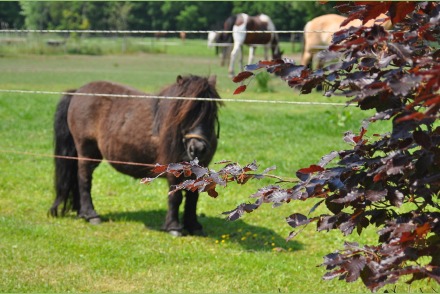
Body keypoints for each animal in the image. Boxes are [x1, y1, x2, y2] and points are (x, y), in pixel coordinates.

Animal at [49, 75, 222, 237]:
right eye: (185, 113)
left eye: (212, 112)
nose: (197, 148)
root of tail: (77, 92)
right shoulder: (173, 170)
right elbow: (176, 197)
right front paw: (174, 227)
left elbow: (193, 198)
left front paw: (194, 226)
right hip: (87, 152)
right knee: (84, 181)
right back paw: (91, 215)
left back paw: (82, 213)